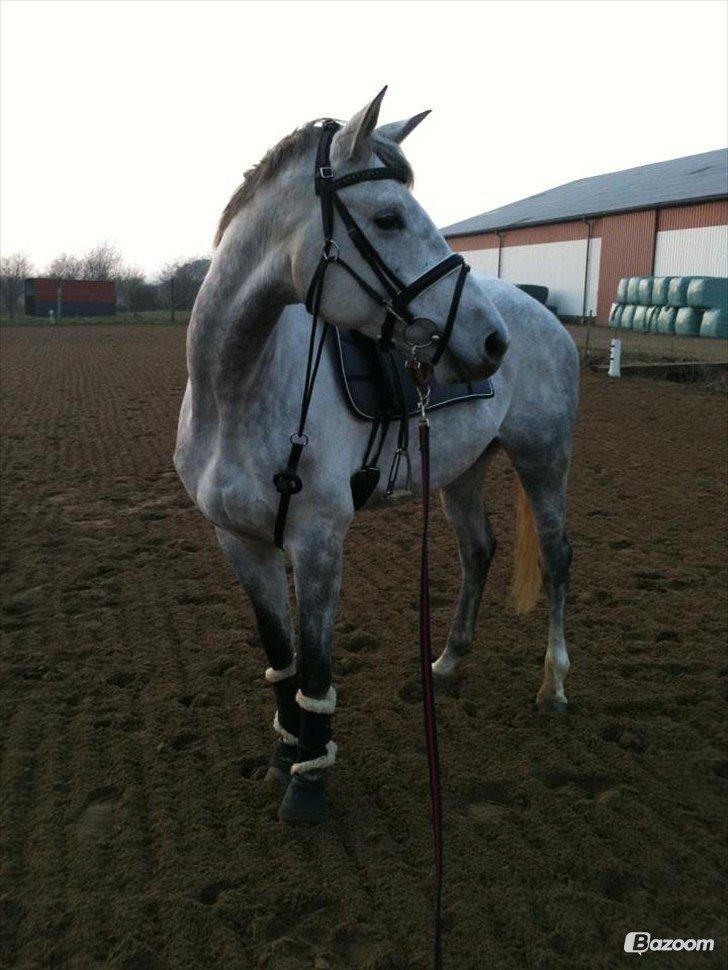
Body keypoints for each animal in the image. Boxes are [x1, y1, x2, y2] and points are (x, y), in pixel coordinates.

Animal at [176, 89, 580, 824]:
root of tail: (541, 318)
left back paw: (554, 684)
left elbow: (315, 666)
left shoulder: (317, 542)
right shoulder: (240, 542)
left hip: (543, 462)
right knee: (478, 552)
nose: (490, 342)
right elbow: (281, 656)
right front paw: (284, 752)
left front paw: (309, 782)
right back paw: (446, 663)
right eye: (388, 217)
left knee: (558, 559)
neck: (235, 392)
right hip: (463, 470)